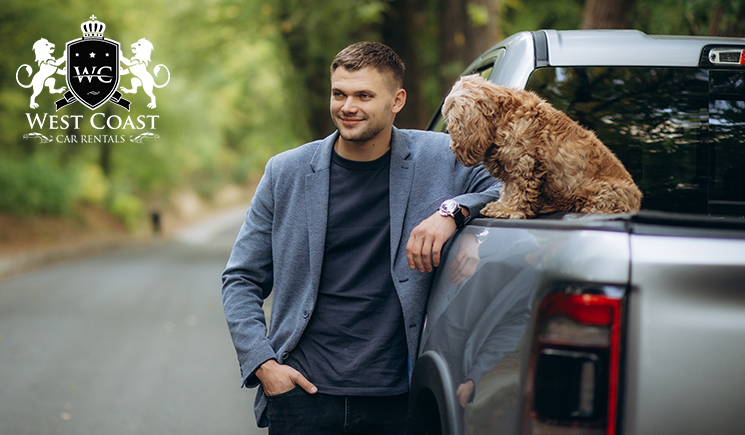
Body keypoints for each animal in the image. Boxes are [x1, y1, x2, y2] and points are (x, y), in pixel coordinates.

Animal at [442, 74, 640, 221]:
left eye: (449, 118)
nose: (451, 147)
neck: (504, 114)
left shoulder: (524, 162)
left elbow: (518, 189)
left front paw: (506, 209)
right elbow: (508, 189)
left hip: (603, 190)